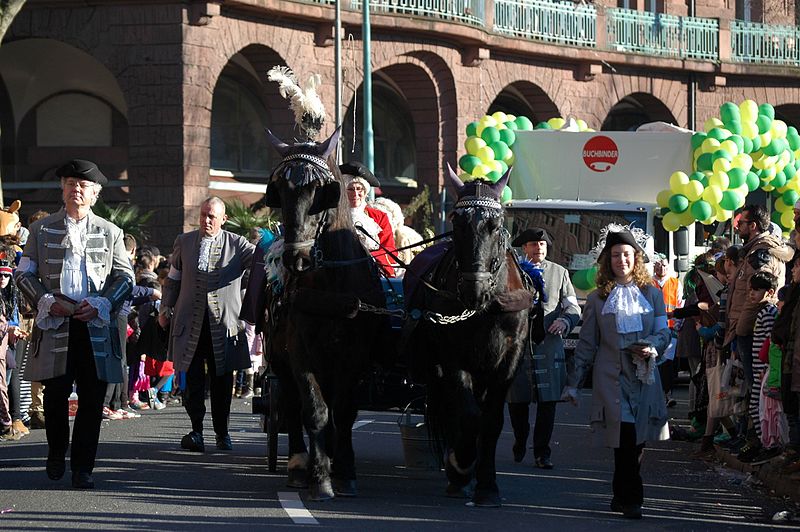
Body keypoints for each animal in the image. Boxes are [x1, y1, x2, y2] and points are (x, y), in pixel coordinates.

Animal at [262, 127, 388, 500]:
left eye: (321, 190)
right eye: (279, 190)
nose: (295, 259)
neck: (331, 283)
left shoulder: (355, 357)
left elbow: (343, 412)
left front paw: (345, 472)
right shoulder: (300, 352)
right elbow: (315, 411)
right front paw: (319, 478)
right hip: (280, 359)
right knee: (292, 404)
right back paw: (298, 464)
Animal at [406, 166, 532, 508]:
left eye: (496, 225)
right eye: (456, 222)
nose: (473, 289)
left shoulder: (509, 359)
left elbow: (491, 421)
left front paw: (487, 484)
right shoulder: (453, 358)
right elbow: (468, 415)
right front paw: (461, 464)